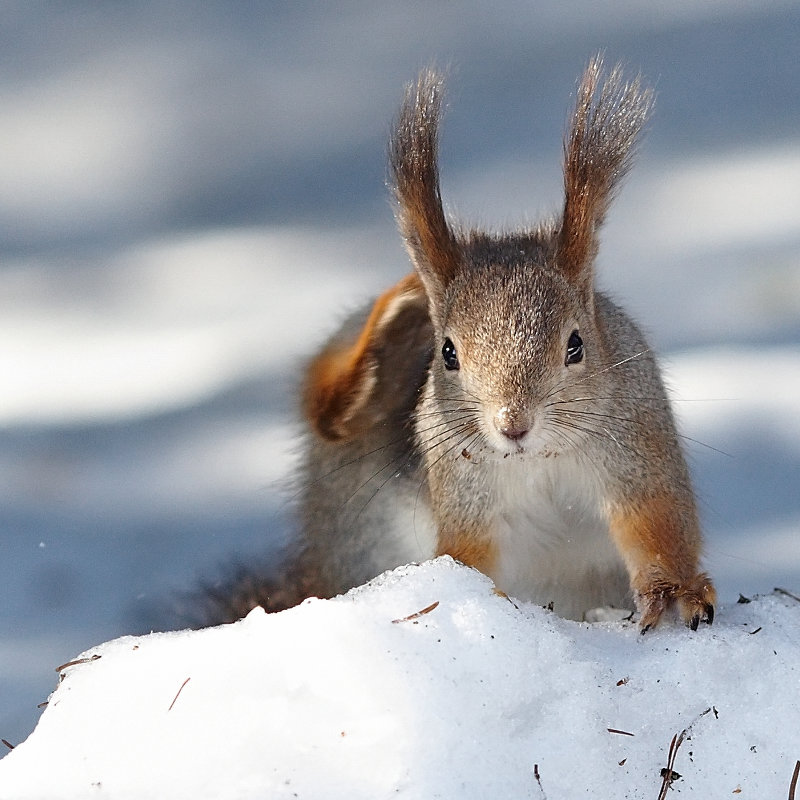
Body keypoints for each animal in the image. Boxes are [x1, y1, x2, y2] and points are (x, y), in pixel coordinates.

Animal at [200, 54, 712, 632]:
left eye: (576, 346)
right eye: (447, 354)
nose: (513, 426)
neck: (537, 460)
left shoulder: (637, 444)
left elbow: (656, 522)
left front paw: (674, 592)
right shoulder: (464, 491)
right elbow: (468, 558)